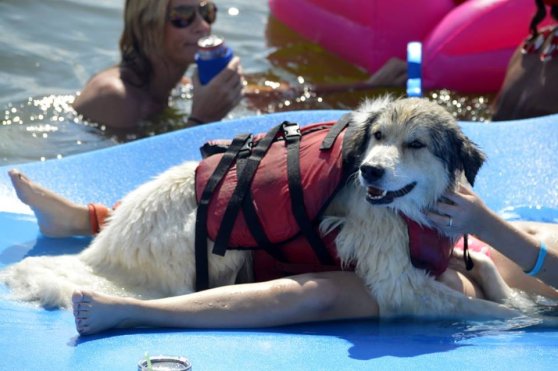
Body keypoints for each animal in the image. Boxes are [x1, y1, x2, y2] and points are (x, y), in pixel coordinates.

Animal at [1, 96, 520, 320]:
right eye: (377, 136)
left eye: (415, 144)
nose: (370, 172)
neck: (411, 209)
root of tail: (103, 253)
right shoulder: (398, 282)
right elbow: (483, 309)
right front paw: (525, 315)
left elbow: (482, 278)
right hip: (214, 234)